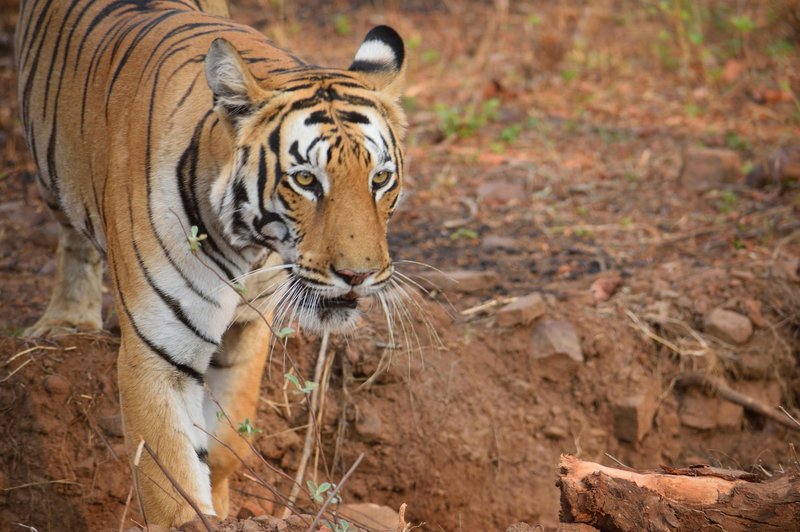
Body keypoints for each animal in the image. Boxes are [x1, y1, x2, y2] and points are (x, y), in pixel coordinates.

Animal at [15, 0, 406, 524]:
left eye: (379, 179)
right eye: (305, 180)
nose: (358, 276)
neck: (249, 247)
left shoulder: (249, 332)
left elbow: (226, 444)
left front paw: (223, 503)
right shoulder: (156, 358)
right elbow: (171, 486)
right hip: (51, 173)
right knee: (71, 239)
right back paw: (66, 320)